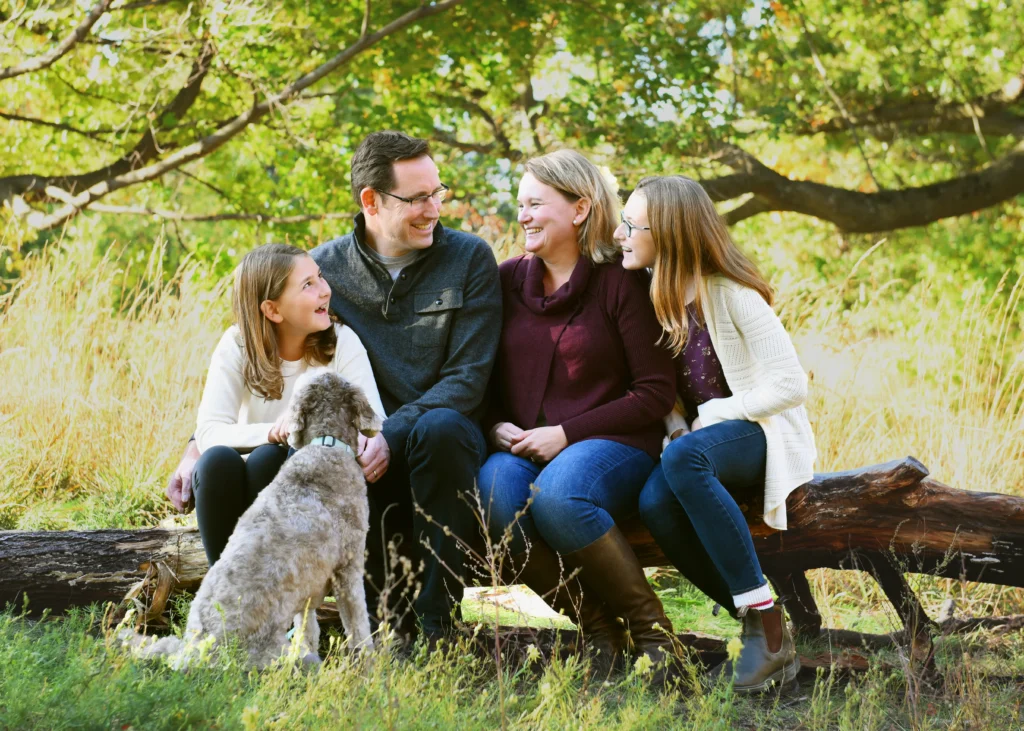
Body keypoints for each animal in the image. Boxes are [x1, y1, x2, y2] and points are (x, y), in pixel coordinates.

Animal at [126, 372, 382, 663]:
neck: (326, 445)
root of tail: (194, 651)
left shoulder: (306, 586)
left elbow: (307, 628)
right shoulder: (348, 567)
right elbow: (358, 626)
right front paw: (369, 664)